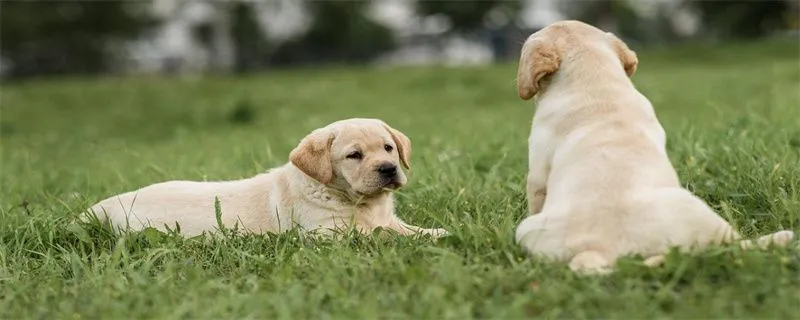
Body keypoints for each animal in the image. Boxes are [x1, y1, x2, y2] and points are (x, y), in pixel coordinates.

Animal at [90, 119, 450, 239]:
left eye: (388, 148)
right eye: (354, 155)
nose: (388, 169)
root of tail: (103, 206)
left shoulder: (389, 219)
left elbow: (405, 229)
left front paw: (439, 232)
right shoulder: (327, 234)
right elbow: (383, 236)